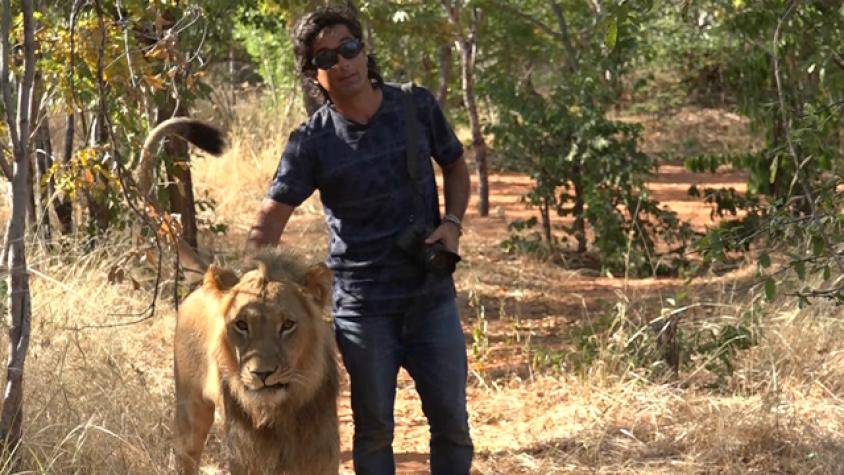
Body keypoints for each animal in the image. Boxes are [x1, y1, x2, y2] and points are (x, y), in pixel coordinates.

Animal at [139, 119, 340, 474]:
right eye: (241, 325)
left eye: (288, 325)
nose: (262, 374)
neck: (281, 416)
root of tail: (207, 279)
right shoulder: (246, 457)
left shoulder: (322, 456)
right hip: (190, 410)